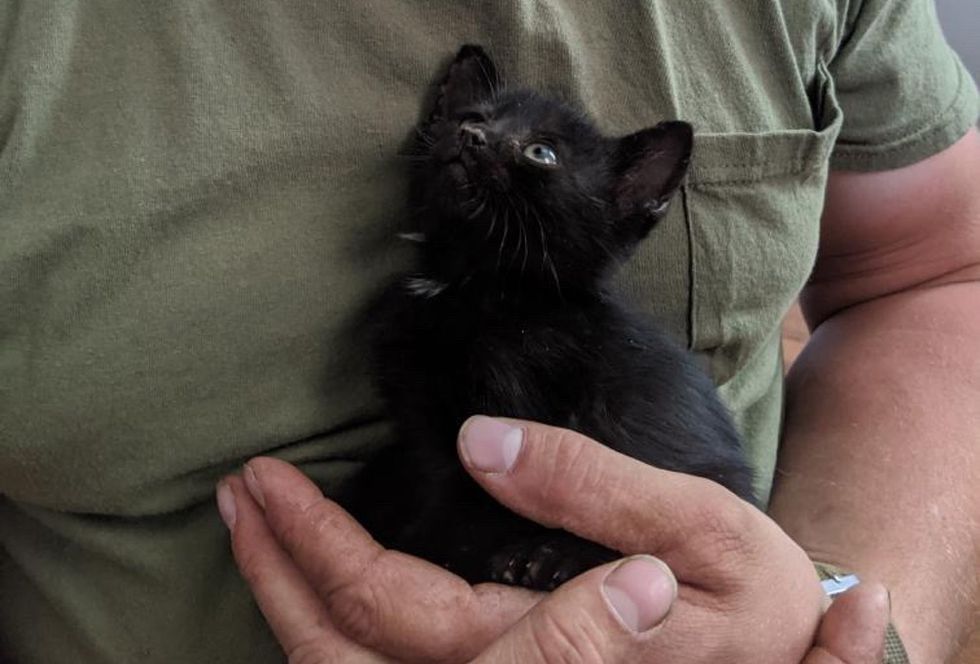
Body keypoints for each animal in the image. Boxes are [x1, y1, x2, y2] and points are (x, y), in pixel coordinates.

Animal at [348, 46, 756, 592]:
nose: (471, 135)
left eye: (541, 153)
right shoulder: (419, 417)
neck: (479, 288)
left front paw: (442, 547)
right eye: (473, 115)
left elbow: (472, 499)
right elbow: (426, 466)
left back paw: (552, 557)